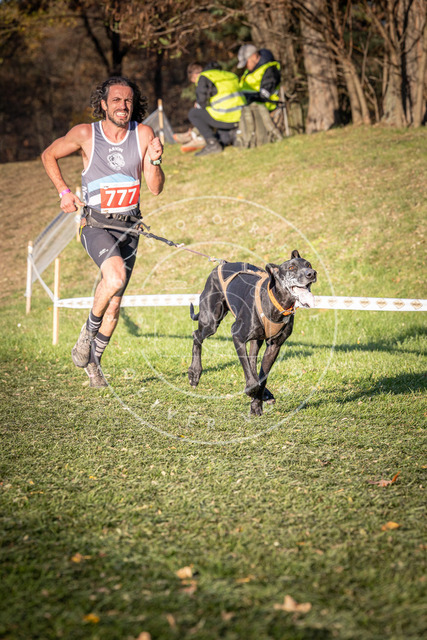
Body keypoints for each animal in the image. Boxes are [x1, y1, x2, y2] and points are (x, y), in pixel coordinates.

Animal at [188, 250, 317, 416]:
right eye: (291, 267)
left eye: (309, 265)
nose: (312, 273)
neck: (276, 302)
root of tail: (220, 265)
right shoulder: (237, 335)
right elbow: (250, 376)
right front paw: (252, 391)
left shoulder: (274, 346)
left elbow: (262, 377)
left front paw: (256, 405)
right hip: (210, 321)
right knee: (197, 335)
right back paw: (194, 372)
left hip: (257, 339)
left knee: (253, 362)